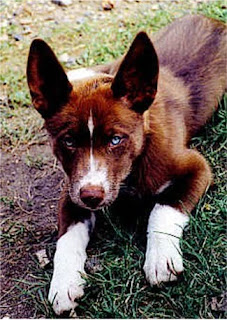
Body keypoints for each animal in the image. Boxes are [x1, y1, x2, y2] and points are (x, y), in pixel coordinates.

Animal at [26, 13, 225, 314]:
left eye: (116, 139)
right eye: (69, 141)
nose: (92, 197)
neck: (131, 171)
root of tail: (210, 18)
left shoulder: (196, 167)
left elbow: (163, 208)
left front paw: (160, 257)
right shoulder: (72, 190)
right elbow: (67, 238)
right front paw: (63, 283)